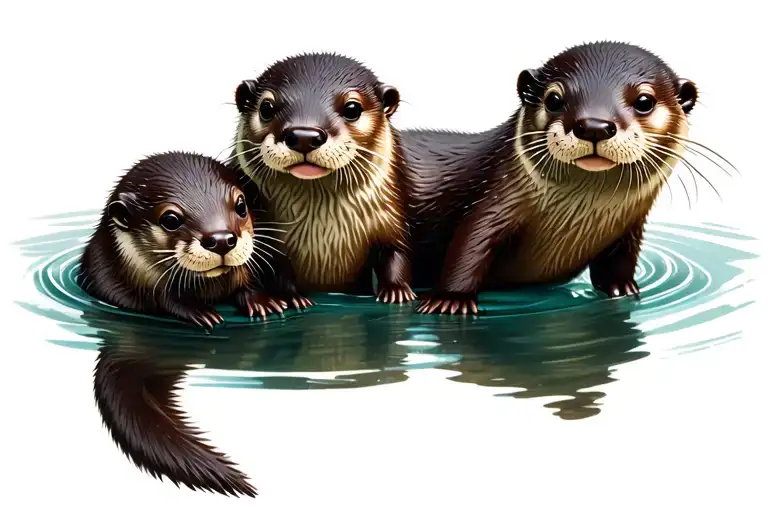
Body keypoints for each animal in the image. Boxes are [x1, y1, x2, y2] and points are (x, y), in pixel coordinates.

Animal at [78, 151, 287, 327]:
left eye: (241, 206)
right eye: (170, 219)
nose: (221, 240)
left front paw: (263, 301)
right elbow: (162, 301)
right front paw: (199, 312)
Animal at [230, 53, 415, 305]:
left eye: (352, 108)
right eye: (266, 107)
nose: (304, 136)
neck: (323, 235)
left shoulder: (391, 218)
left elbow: (396, 251)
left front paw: (397, 291)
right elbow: (275, 268)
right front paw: (291, 297)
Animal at [405, 41, 702, 315]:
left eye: (644, 101)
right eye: (554, 99)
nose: (594, 126)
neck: (581, 216)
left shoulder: (630, 227)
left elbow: (621, 260)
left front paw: (622, 288)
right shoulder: (494, 204)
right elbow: (468, 247)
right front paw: (450, 299)